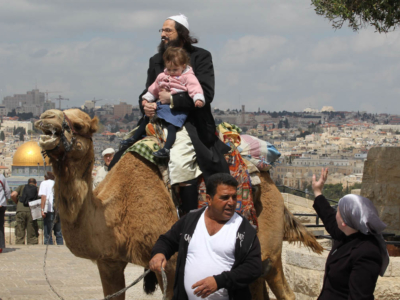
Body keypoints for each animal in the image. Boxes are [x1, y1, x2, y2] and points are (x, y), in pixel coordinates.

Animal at [34, 108, 322, 300]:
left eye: (79, 125)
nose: (45, 118)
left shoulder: (171, 264)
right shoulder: (109, 262)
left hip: (269, 251)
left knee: (284, 290)